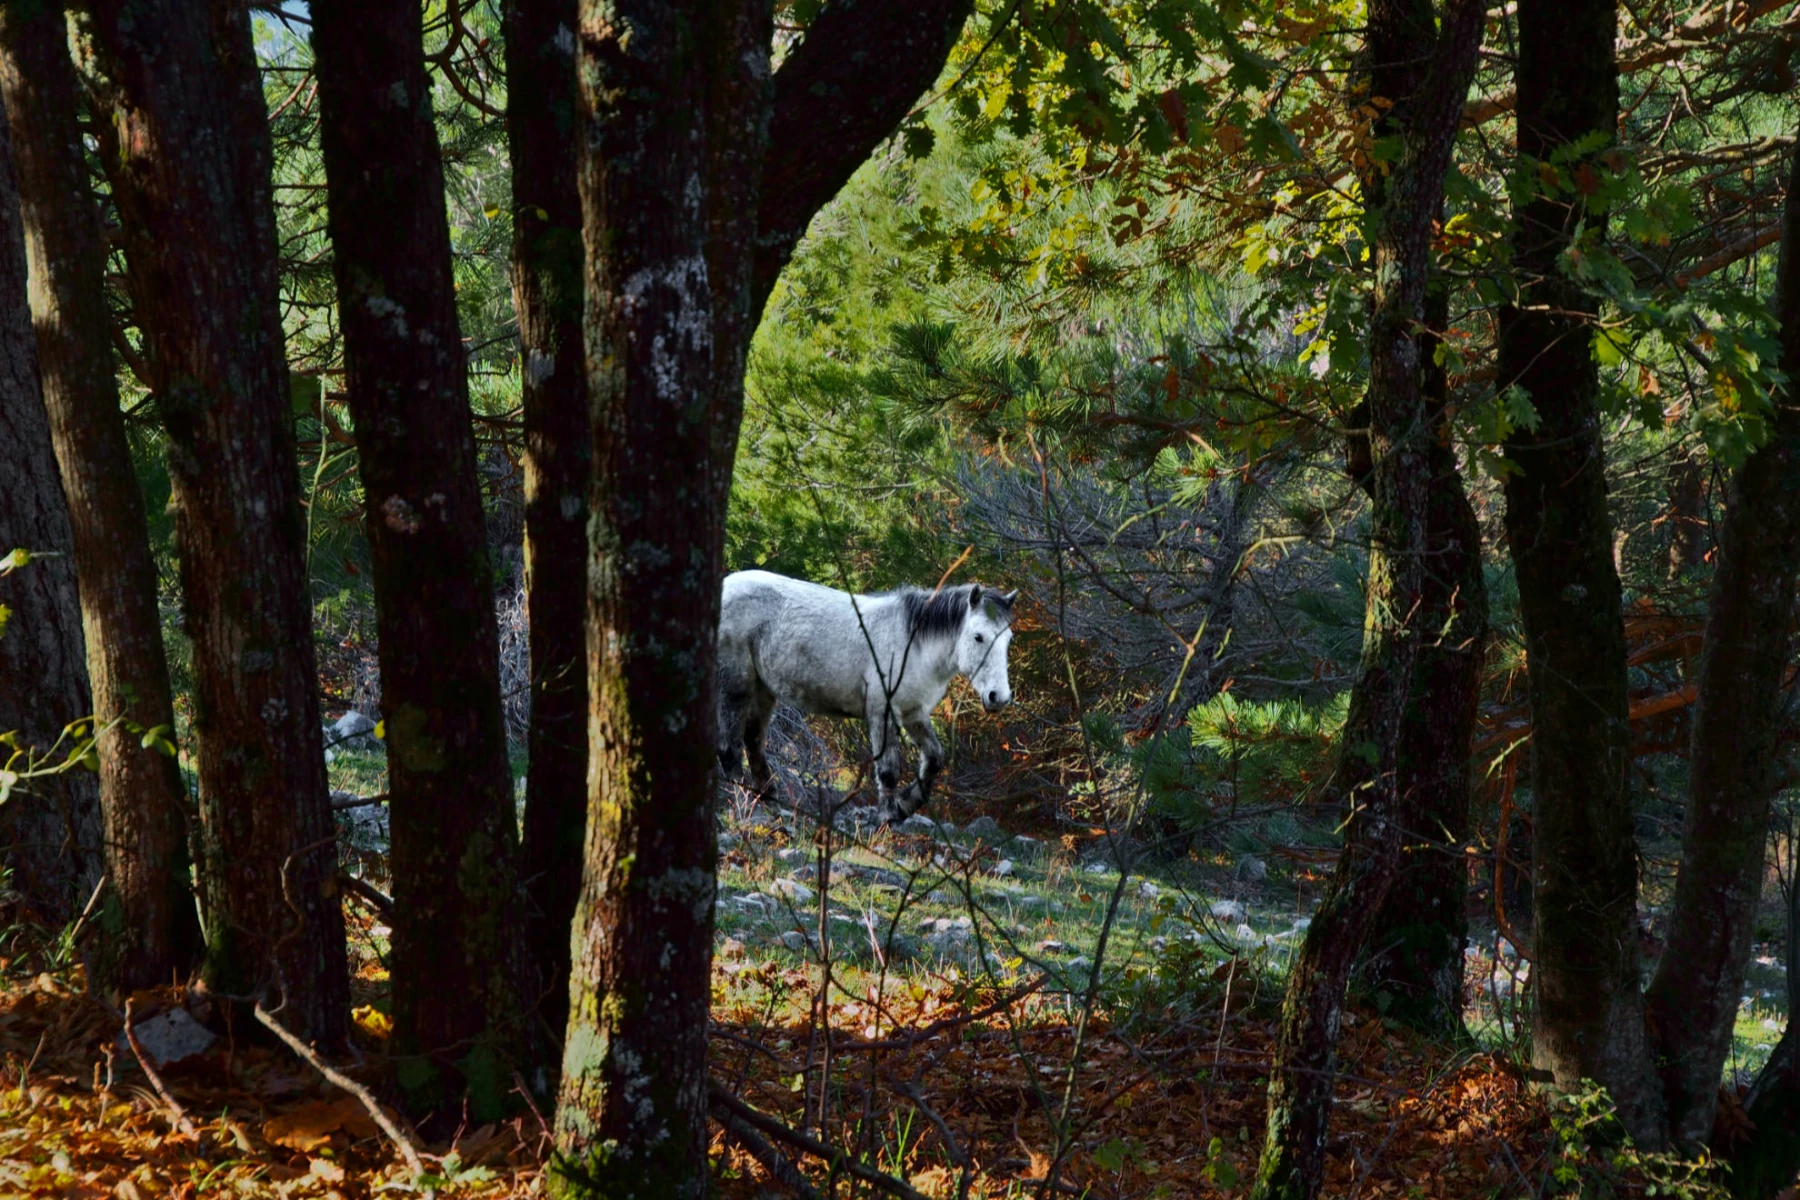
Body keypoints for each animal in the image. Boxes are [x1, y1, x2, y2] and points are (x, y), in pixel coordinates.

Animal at [720, 572, 1029, 816]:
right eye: (978, 637)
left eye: (1008, 639)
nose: (999, 697)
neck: (912, 645)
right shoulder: (882, 712)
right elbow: (888, 770)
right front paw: (887, 817)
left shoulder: (913, 714)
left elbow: (933, 759)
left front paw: (906, 807)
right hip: (737, 687)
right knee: (731, 747)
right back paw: (743, 806)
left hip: (764, 690)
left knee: (753, 742)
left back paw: (771, 804)